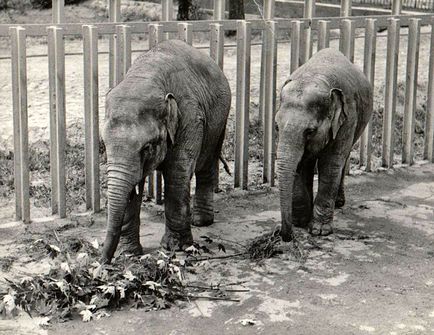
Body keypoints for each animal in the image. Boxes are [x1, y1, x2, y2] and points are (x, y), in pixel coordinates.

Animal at [101, 40, 231, 266]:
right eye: (104, 144)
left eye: (147, 147)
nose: (102, 261)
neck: (144, 77)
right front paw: (129, 253)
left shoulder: (190, 118)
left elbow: (177, 173)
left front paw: (175, 248)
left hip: (219, 118)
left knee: (206, 162)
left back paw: (201, 222)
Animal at [274, 48, 372, 242]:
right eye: (276, 127)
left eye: (310, 131)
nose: (287, 236)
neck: (315, 78)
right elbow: (300, 165)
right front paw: (300, 223)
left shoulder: (347, 118)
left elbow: (330, 165)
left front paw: (319, 231)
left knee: (342, 160)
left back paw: (339, 203)